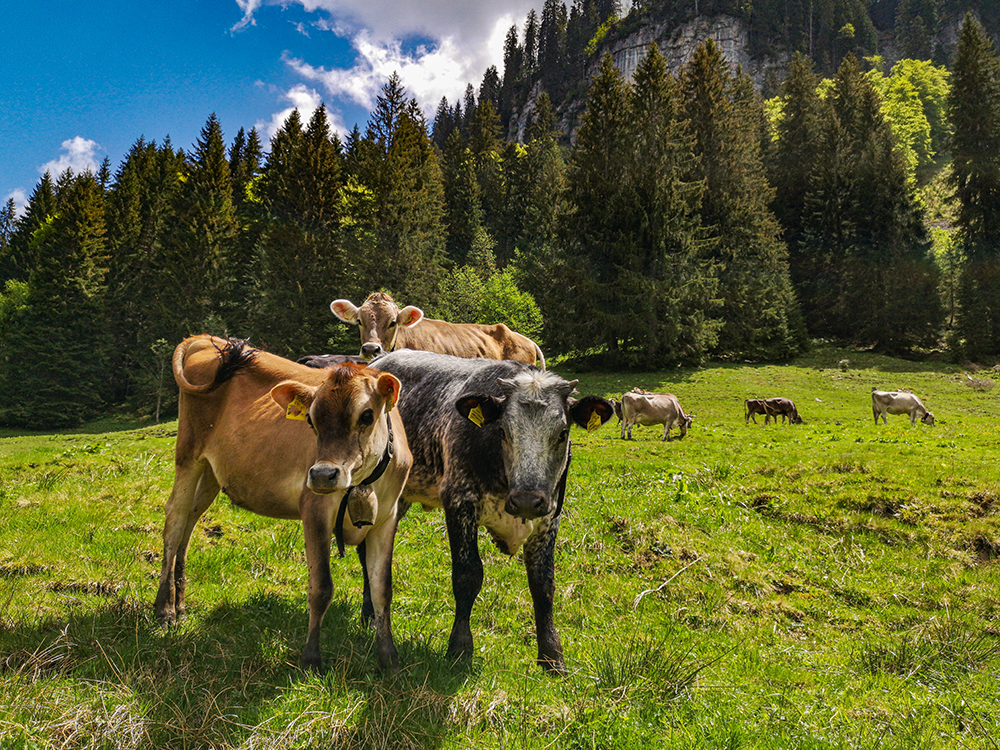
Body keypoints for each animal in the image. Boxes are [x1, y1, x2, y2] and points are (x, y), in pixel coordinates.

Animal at [153, 338, 410, 672]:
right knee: (175, 519)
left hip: (211, 470)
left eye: (367, 415)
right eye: (311, 420)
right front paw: (311, 658)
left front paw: (388, 656)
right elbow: (321, 587)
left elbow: (382, 589)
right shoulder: (314, 510)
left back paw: (180, 603)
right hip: (189, 453)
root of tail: (209, 339)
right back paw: (165, 609)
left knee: (190, 521)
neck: (364, 482)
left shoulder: (387, 518)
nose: (323, 474)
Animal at [372, 352, 612, 676]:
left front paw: (552, 655)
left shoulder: (549, 517)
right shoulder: (460, 502)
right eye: (502, 431)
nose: (526, 501)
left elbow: (543, 583)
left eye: (562, 433)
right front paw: (460, 648)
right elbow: (468, 574)